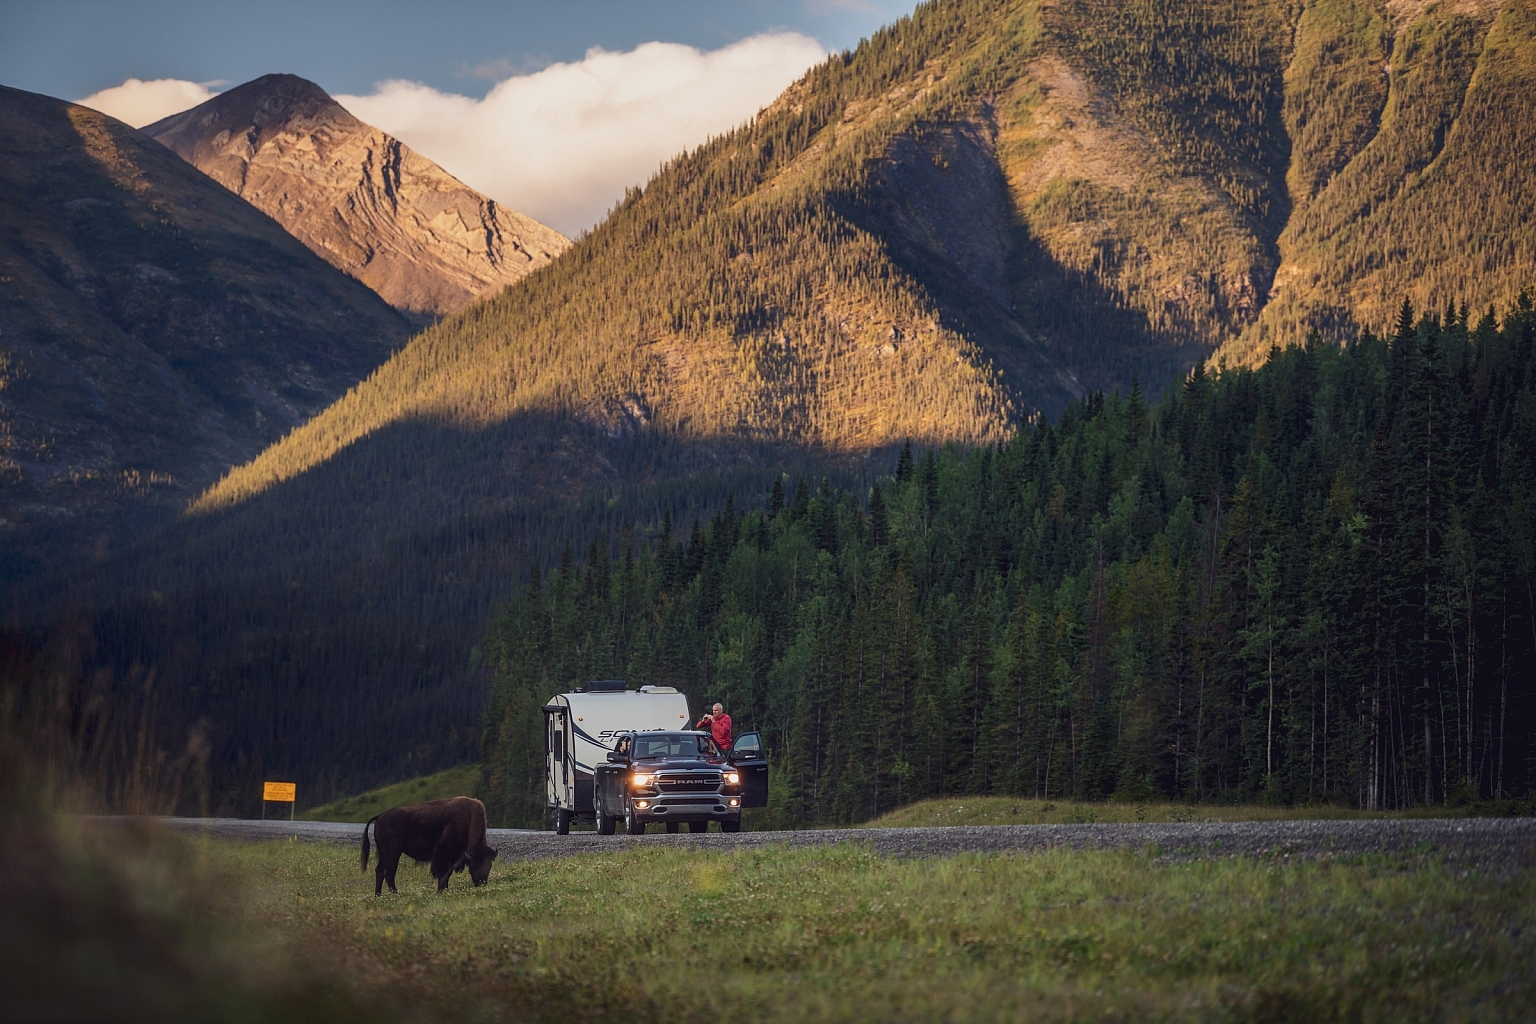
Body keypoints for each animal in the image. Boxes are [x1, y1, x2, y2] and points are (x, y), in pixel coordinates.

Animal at [360, 798, 494, 890]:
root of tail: (380, 816)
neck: (467, 818)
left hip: (384, 854)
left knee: (379, 871)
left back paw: (378, 895)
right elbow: (443, 874)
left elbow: (447, 873)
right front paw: (441, 890)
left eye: (489, 865)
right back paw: (395, 894)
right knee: (388, 873)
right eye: (474, 865)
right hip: (393, 853)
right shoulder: (443, 854)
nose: (482, 883)